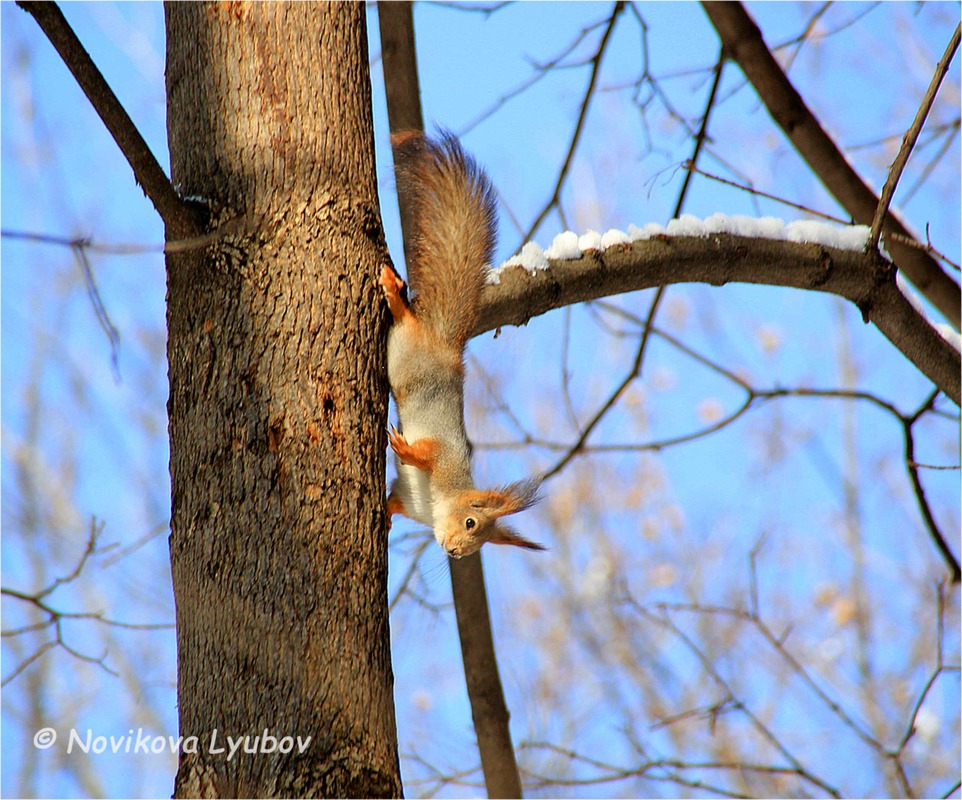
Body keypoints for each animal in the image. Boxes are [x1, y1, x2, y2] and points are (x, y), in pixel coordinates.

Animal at [378, 130, 544, 556]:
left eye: (478, 544)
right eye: (471, 522)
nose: (454, 551)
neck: (438, 503)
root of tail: (444, 341)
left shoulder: (406, 498)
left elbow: (393, 502)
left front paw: (384, 519)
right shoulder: (443, 456)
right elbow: (425, 453)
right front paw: (403, 449)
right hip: (408, 350)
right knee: (405, 318)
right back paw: (393, 292)